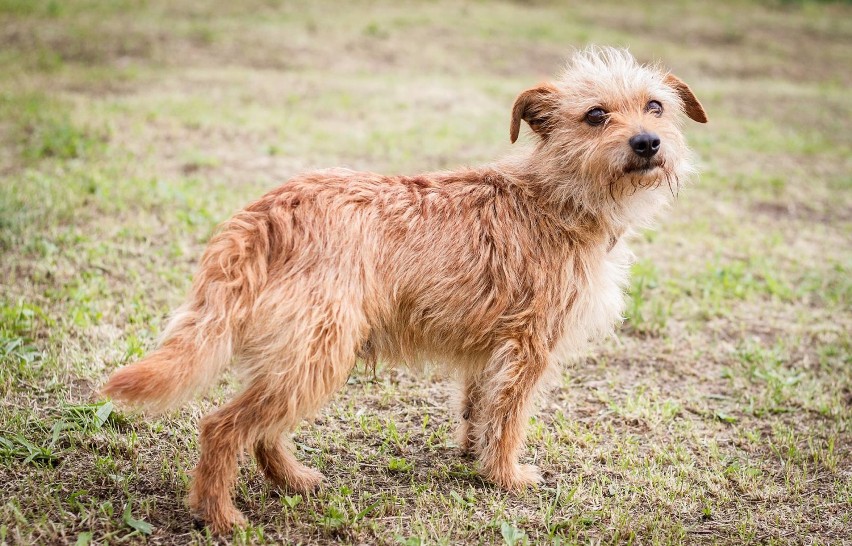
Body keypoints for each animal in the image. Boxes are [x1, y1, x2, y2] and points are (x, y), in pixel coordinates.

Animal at [103, 46, 708, 532]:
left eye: (655, 106)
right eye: (595, 115)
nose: (648, 142)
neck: (558, 197)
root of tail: (269, 210)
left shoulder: (489, 351)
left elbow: (479, 409)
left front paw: (473, 458)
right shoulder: (528, 347)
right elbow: (509, 419)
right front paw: (506, 476)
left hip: (299, 353)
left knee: (263, 430)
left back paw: (293, 479)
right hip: (320, 352)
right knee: (222, 426)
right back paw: (219, 514)